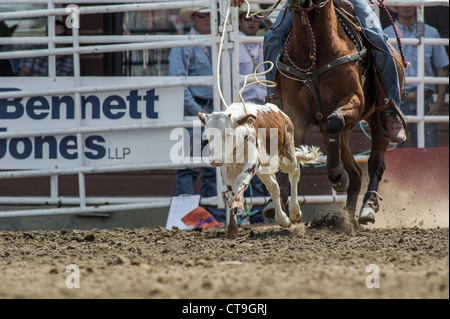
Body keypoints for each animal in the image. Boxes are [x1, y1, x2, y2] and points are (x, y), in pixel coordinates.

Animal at [199, 102, 322, 240]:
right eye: (208, 136)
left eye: (228, 134)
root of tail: (281, 113)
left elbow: (241, 180)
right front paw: (232, 230)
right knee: (274, 187)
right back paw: (283, 219)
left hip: (286, 157)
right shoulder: (227, 170)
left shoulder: (253, 162)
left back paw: (294, 211)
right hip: (264, 169)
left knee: (294, 173)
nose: (215, 160)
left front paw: (238, 204)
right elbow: (231, 194)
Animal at [272, 0, 406, 228]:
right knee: (356, 173)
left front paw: (337, 177)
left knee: (375, 163)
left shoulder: (353, 100)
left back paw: (367, 207)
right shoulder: (295, 113)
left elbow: (334, 120)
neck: (315, 49)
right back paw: (347, 219)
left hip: (377, 122)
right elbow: (289, 150)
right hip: (338, 133)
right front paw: (281, 205)